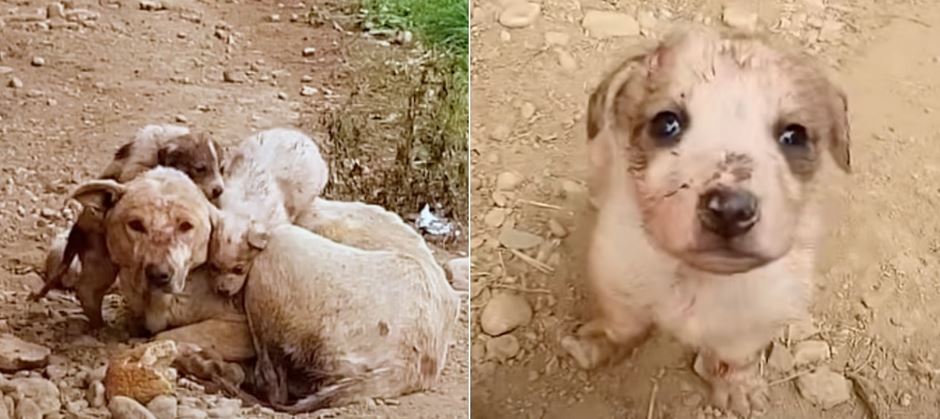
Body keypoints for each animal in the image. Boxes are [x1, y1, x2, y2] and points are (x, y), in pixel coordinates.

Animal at [564, 27, 852, 416]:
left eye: (794, 135)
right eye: (666, 123)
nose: (729, 210)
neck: (699, 279)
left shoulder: (760, 316)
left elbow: (735, 358)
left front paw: (738, 389)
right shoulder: (615, 276)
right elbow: (623, 323)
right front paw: (598, 343)